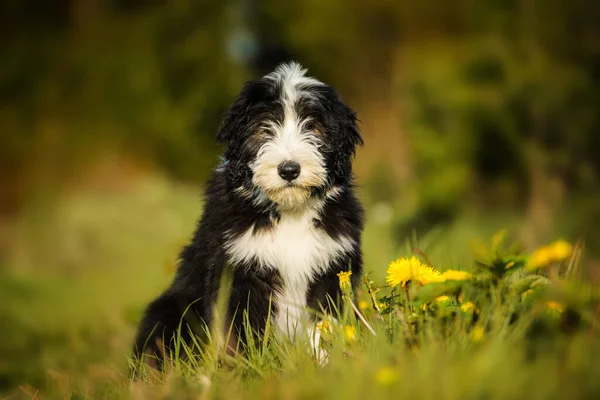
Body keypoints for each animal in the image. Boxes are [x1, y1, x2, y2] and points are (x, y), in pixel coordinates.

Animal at [132, 62, 364, 368]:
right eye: (264, 129)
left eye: (313, 127)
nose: (289, 169)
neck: (289, 211)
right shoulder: (238, 268)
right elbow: (241, 331)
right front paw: (247, 369)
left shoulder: (332, 266)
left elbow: (324, 323)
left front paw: (327, 364)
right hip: (169, 309)